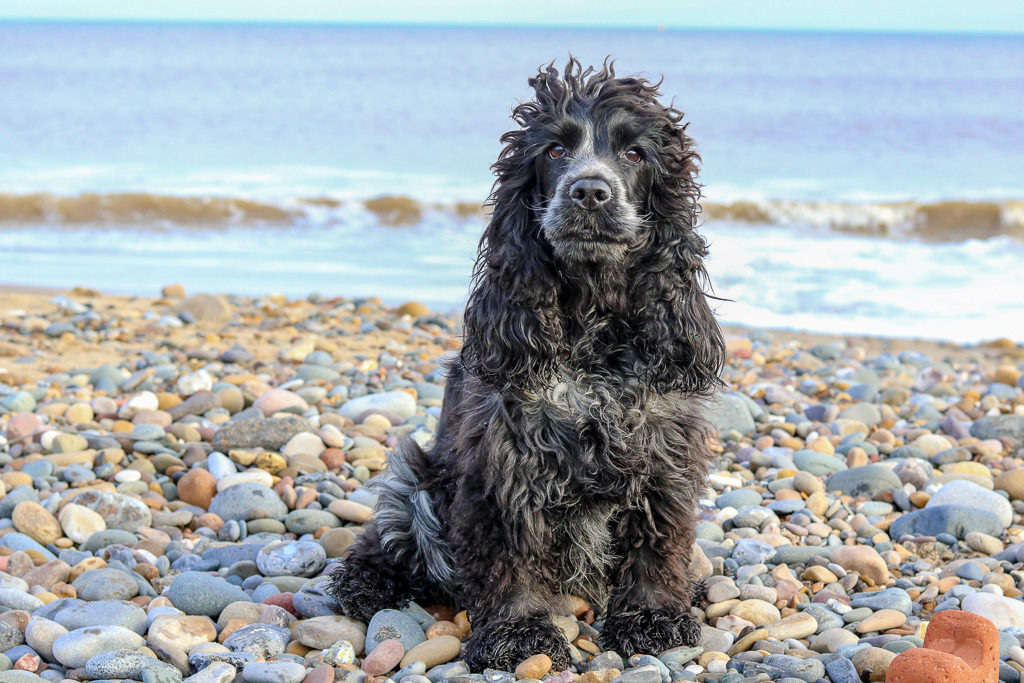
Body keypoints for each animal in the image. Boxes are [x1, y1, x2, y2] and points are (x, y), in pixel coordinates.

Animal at [325, 60, 720, 671]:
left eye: (635, 154)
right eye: (555, 150)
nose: (590, 192)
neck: (590, 328)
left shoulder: (661, 449)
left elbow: (657, 539)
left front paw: (654, 617)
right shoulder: (504, 461)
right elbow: (509, 550)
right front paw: (519, 635)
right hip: (417, 478)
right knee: (389, 534)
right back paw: (367, 582)